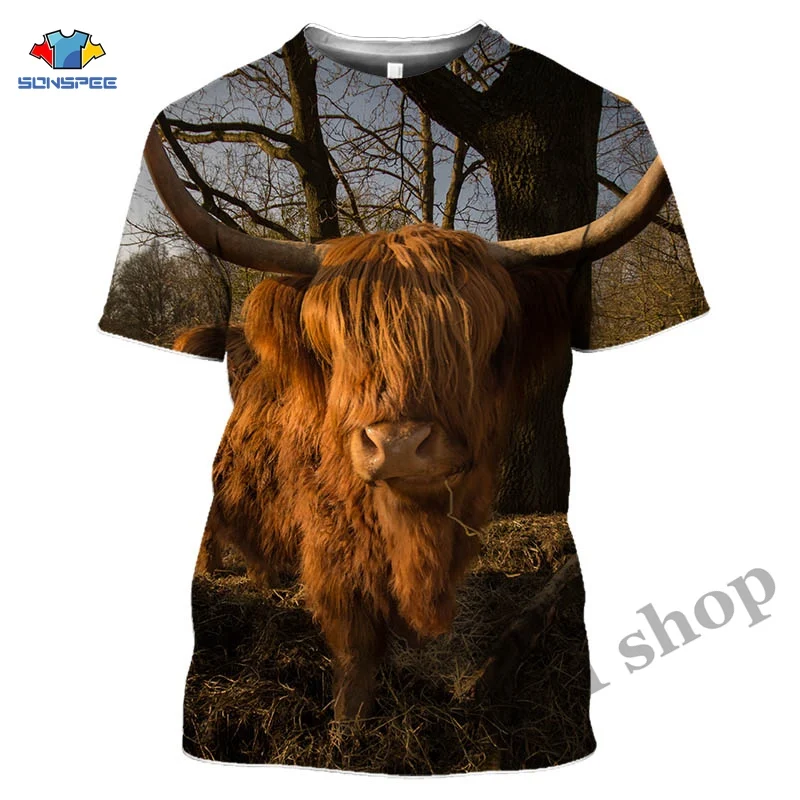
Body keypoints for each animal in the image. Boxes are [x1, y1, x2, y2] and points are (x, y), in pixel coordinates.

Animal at [144, 122, 672, 720]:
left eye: (480, 339)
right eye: (333, 346)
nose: (397, 445)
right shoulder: (334, 553)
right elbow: (355, 649)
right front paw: (348, 724)